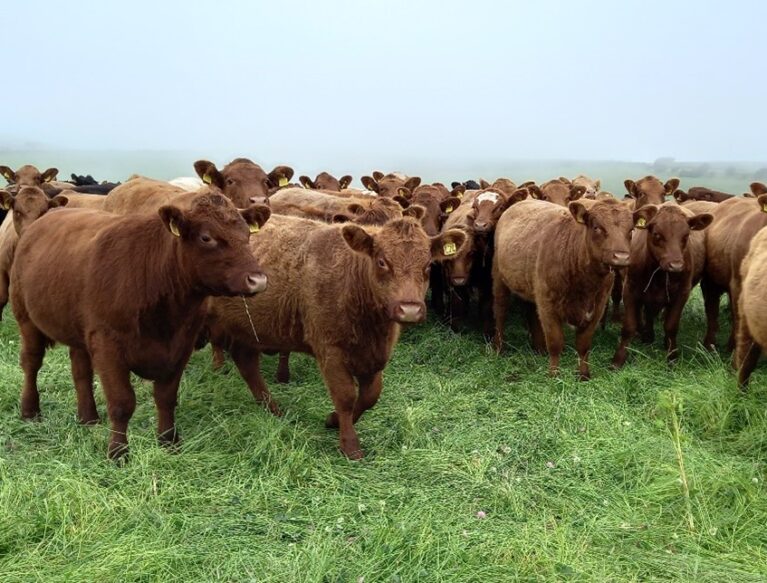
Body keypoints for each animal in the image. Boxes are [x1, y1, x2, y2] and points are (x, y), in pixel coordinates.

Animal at [11, 192, 271, 459]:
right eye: (206, 237)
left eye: (247, 234)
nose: (258, 280)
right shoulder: (108, 345)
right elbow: (122, 402)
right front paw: (118, 452)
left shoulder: (181, 346)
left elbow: (166, 397)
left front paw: (168, 441)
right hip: (26, 318)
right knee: (31, 363)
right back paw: (30, 410)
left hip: (79, 331)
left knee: (80, 371)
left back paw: (88, 417)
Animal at [204, 215, 467, 459]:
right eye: (382, 262)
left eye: (428, 265)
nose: (409, 309)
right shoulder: (330, 351)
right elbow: (346, 396)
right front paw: (350, 445)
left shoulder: (375, 356)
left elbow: (370, 396)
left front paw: (332, 420)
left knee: (246, 364)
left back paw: (273, 410)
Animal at [493, 198, 639, 380]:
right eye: (597, 227)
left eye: (631, 230)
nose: (621, 257)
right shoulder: (548, 306)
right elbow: (555, 343)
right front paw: (554, 376)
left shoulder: (597, 307)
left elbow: (583, 344)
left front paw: (584, 375)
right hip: (499, 278)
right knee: (500, 311)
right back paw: (499, 348)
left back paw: (538, 348)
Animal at [611, 203, 714, 368]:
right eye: (657, 235)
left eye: (686, 236)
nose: (676, 265)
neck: (658, 275)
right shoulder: (630, 290)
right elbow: (629, 326)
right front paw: (618, 360)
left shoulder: (682, 293)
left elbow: (671, 326)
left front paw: (672, 357)